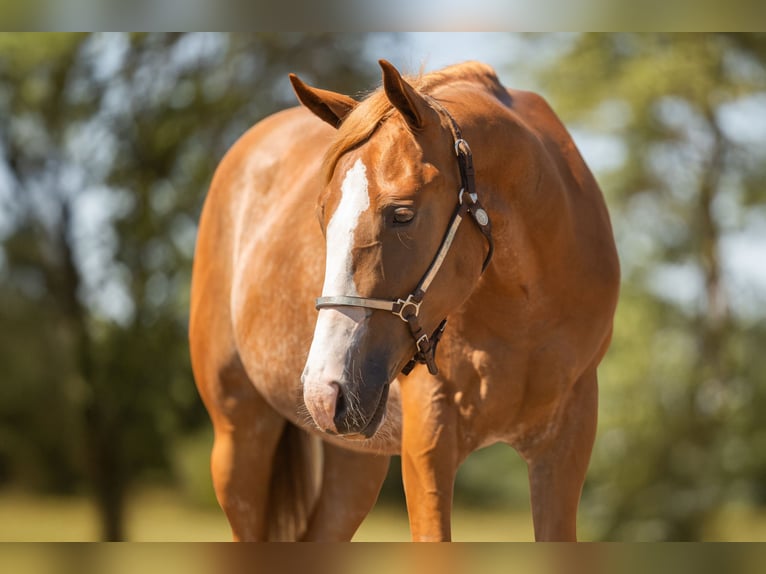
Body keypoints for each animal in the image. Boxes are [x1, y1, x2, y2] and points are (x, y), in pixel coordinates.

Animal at [189, 59, 620, 541]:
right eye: (322, 216)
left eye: (402, 214)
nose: (323, 391)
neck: (526, 312)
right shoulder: (429, 441)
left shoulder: (566, 443)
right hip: (240, 438)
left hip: (354, 460)